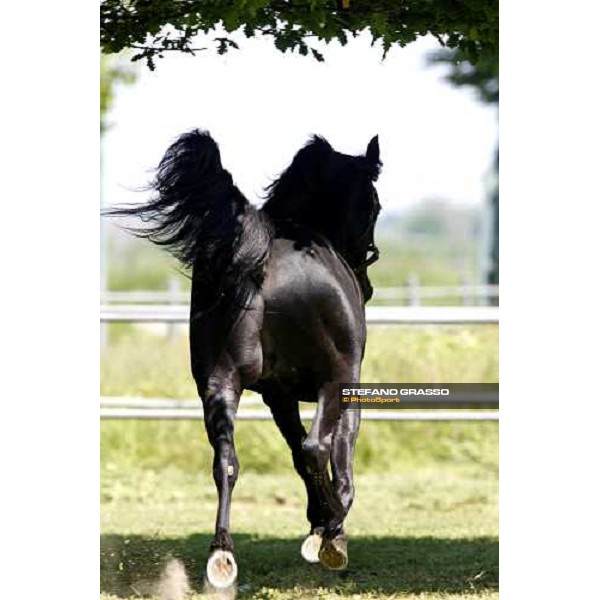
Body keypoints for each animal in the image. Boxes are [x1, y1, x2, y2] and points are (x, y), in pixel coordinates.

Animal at [105, 130, 382, 584]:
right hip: (332, 380)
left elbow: (295, 454)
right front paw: (328, 531)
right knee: (315, 448)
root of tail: (262, 258)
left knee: (226, 461)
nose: (367, 282)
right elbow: (336, 454)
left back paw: (222, 554)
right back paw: (331, 533)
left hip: (219, 385)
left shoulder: (278, 397)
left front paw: (316, 525)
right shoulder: (347, 387)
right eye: (373, 204)